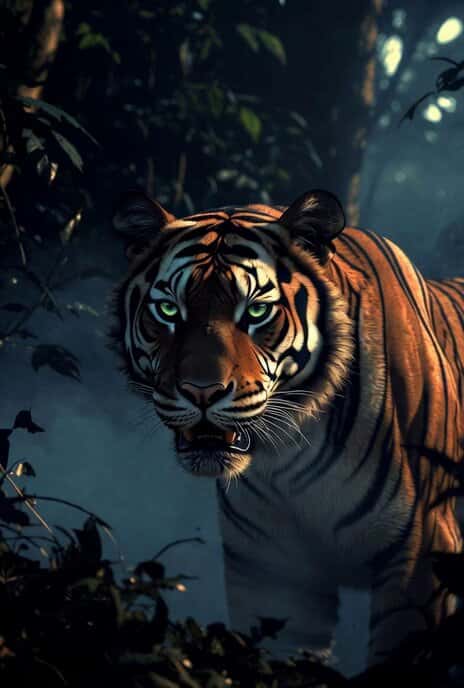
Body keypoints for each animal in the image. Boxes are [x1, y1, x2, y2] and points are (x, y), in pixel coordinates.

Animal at [111, 187, 464, 667]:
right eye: (168, 310)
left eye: (257, 311)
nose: (202, 392)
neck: (291, 450)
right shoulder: (273, 576)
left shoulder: (421, 558)